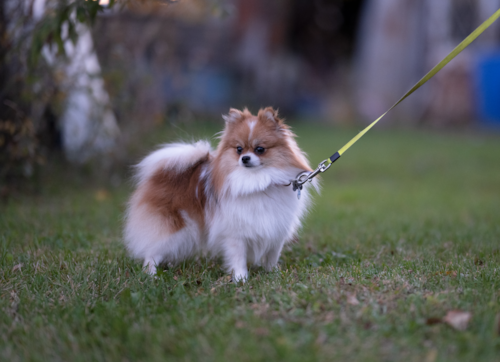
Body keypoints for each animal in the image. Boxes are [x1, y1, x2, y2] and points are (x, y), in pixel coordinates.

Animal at [123, 106, 318, 282]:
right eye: (239, 149)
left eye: (260, 149)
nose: (244, 158)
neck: (257, 182)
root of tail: (160, 174)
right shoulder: (236, 233)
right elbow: (238, 258)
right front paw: (240, 279)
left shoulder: (276, 230)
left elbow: (271, 256)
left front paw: (274, 274)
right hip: (174, 228)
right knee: (152, 251)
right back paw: (151, 274)